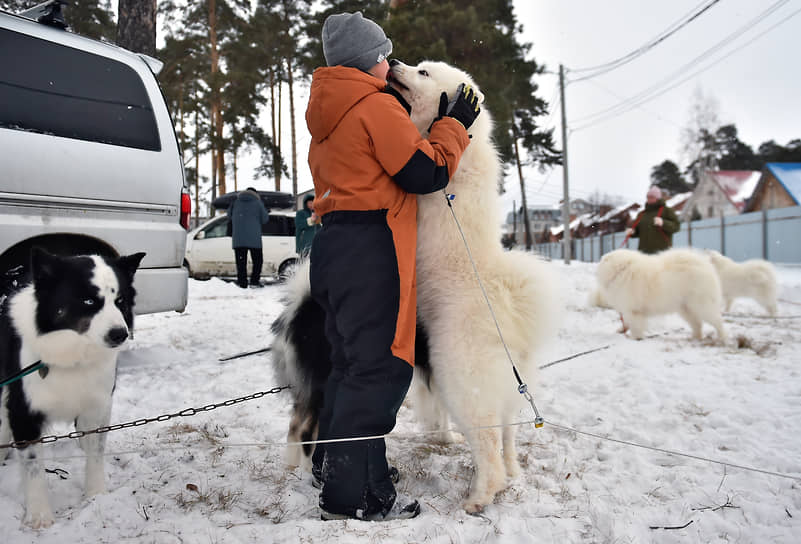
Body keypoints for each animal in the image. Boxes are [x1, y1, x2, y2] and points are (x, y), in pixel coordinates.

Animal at [390, 61, 560, 512]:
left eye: (422, 72)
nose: (392, 63)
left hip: (462, 382)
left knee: (488, 448)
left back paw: (479, 498)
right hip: (506, 393)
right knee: (508, 437)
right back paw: (512, 473)